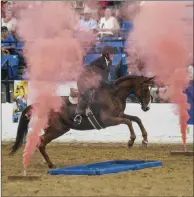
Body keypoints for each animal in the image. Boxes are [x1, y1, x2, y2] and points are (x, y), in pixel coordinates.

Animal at [10, 75, 153, 168]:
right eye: (145, 89)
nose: (147, 108)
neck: (113, 95)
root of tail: (42, 104)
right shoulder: (108, 120)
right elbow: (128, 122)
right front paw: (131, 140)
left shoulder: (119, 115)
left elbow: (136, 119)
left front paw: (145, 139)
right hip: (57, 129)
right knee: (41, 142)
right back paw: (50, 164)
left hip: (58, 128)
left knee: (41, 142)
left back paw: (47, 163)